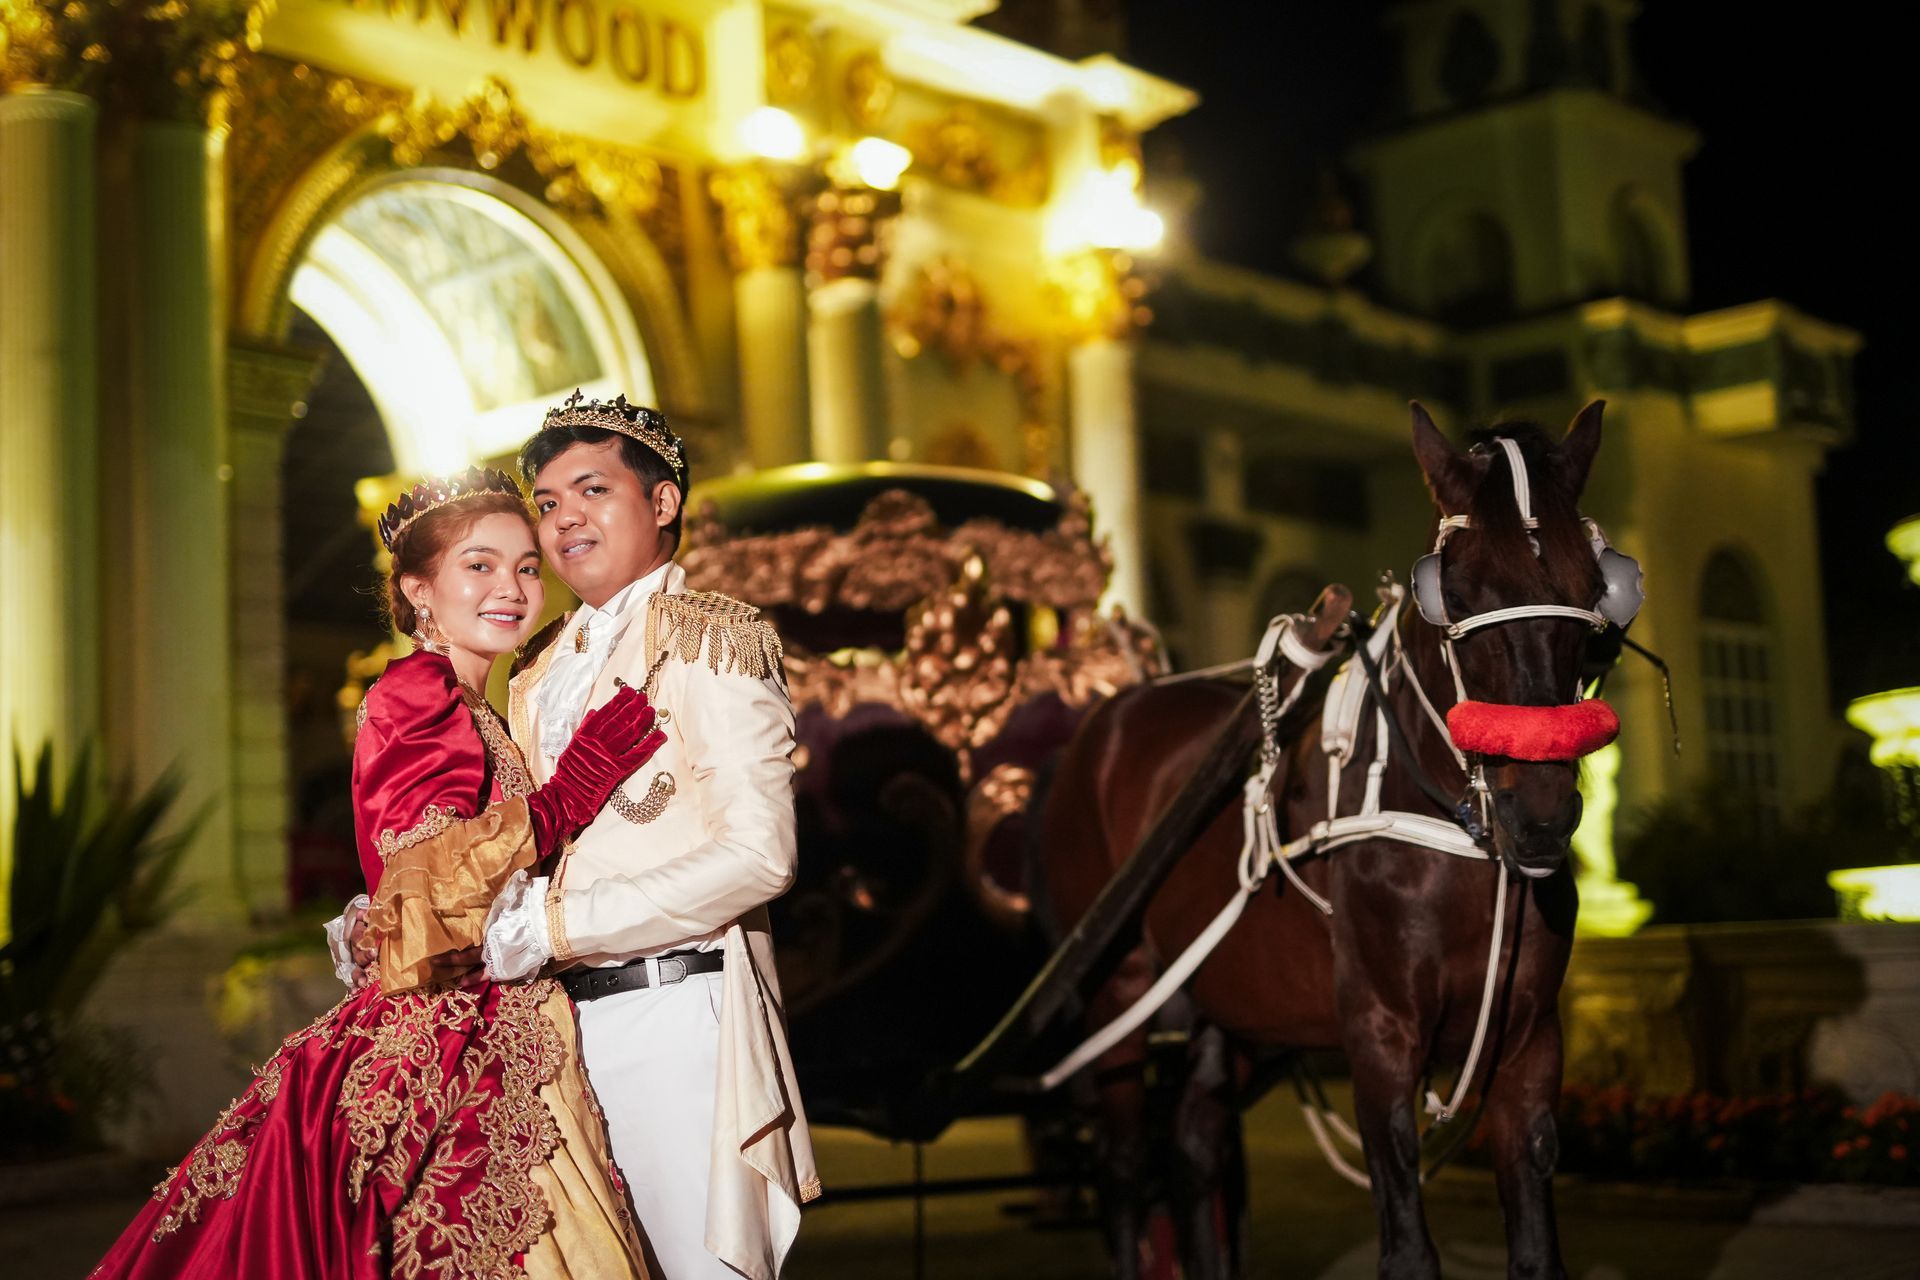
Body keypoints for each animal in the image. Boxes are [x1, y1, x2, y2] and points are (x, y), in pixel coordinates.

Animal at [1038, 402, 1621, 1280]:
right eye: (1455, 591)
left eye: (1593, 590)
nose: (1543, 815)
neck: (1455, 841)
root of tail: (1106, 721)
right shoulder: (1378, 1037)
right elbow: (1407, 1247)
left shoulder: (1529, 1044)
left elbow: (1536, 1248)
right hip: (1119, 991)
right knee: (1124, 1166)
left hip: (1232, 1006)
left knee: (1194, 1151)